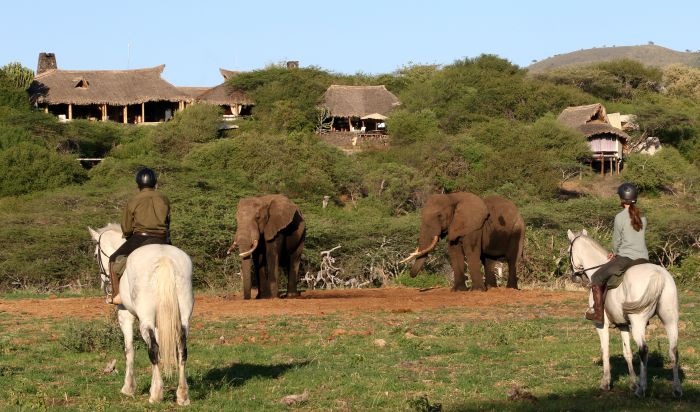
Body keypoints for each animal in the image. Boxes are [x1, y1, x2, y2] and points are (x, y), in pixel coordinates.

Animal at [90, 224, 196, 404]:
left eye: (96, 255)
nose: (104, 284)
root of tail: (164, 258)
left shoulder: (124, 314)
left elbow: (129, 350)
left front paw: (129, 388)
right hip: (182, 318)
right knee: (181, 349)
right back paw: (182, 395)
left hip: (145, 319)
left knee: (153, 349)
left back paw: (156, 396)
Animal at [568, 230, 680, 398]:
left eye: (569, 251)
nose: (575, 276)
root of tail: (658, 274)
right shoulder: (623, 325)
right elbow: (627, 353)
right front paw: (633, 384)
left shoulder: (601, 325)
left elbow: (605, 350)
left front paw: (606, 382)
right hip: (669, 320)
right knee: (673, 350)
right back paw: (677, 389)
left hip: (639, 322)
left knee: (643, 350)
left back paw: (642, 389)